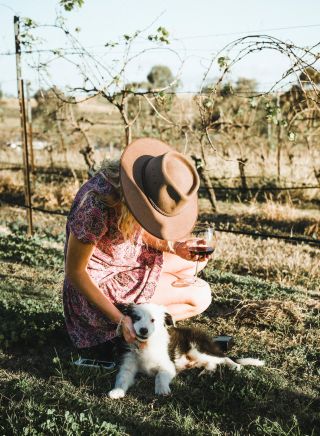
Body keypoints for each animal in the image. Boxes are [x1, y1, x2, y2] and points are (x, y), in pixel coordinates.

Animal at [109, 304, 264, 398]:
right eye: (136, 318)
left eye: (153, 320)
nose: (143, 330)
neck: (146, 344)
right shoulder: (128, 364)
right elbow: (121, 378)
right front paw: (117, 391)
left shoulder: (168, 366)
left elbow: (160, 376)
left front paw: (162, 389)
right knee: (213, 363)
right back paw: (206, 372)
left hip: (197, 349)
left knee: (223, 357)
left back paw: (234, 366)